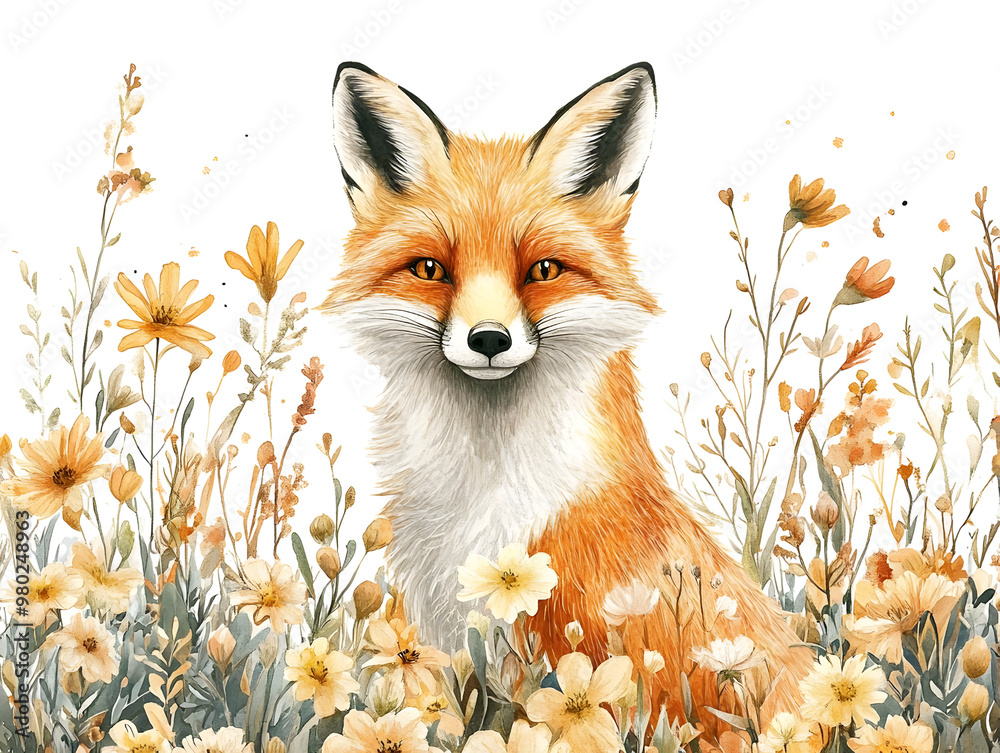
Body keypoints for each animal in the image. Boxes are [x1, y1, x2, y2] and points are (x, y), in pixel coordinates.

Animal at [323, 61, 813, 730]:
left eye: (543, 270)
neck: (486, 497)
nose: (489, 339)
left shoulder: (559, 641)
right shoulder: (455, 642)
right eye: (430, 269)